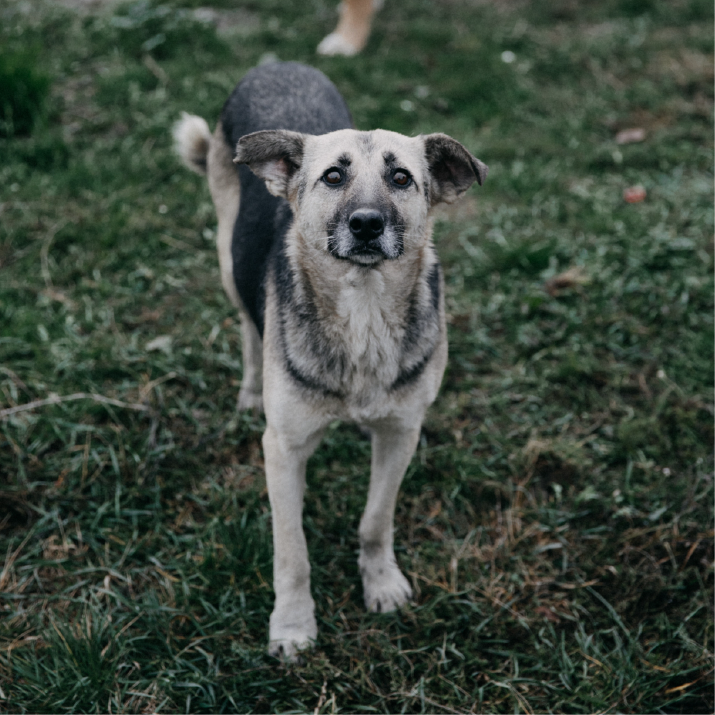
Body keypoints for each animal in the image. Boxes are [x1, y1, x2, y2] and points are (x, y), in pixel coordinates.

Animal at [174, 60, 486, 660]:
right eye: (333, 177)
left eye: (402, 178)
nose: (366, 224)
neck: (362, 311)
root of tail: (277, 64)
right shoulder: (283, 449)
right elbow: (292, 552)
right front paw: (293, 625)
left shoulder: (402, 432)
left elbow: (375, 520)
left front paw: (380, 582)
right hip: (228, 261)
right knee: (247, 325)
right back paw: (249, 392)